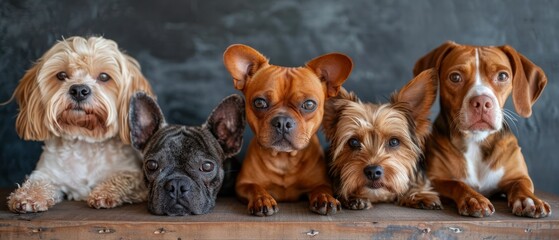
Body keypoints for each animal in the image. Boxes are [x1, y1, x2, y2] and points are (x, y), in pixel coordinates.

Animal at [5, 36, 154, 213]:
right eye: (62, 75)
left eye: (104, 77)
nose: (79, 90)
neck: (84, 141)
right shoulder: (46, 173)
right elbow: (37, 182)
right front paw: (28, 196)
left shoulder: (136, 177)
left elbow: (122, 178)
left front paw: (104, 192)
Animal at [224, 44, 352, 217]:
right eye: (259, 102)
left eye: (309, 104)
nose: (283, 122)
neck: (284, 159)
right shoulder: (243, 184)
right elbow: (255, 187)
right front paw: (262, 199)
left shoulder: (321, 182)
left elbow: (322, 189)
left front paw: (325, 198)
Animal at [416, 40, 552, 218]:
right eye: (455, 77)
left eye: (502, 76)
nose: (481, 102)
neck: (477, 139)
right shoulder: (435, 179)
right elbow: (456, 184)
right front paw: (474, 198)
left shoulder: (519, 176)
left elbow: (521, 185)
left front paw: (529, 200)